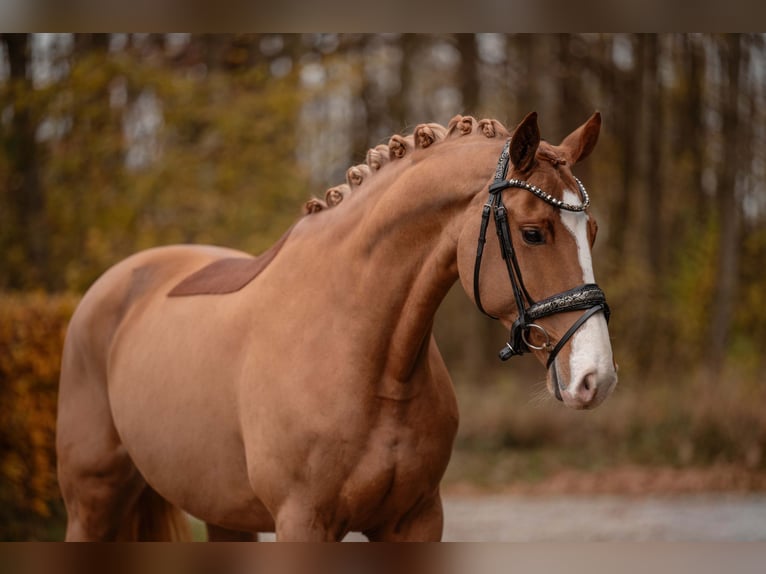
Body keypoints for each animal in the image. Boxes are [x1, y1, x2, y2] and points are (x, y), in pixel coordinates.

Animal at [55, 110, 616, 544]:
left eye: (591, 230)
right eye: (533, 233)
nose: (597, 378)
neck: (366, 356)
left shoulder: (416, 521)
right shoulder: (302, 523)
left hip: (223, 514)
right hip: (91, 502)